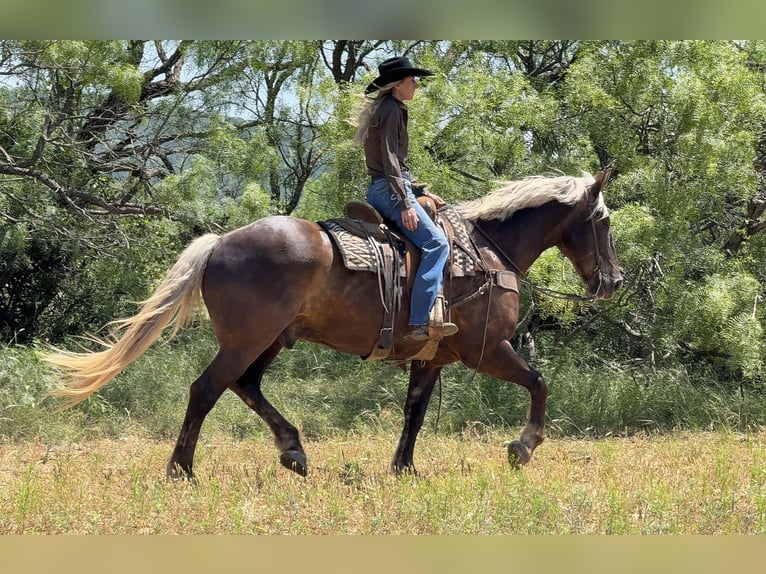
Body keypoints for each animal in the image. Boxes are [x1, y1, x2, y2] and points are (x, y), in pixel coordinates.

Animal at [45, 168, 622, 479]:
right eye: (604, 221)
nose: (614, 281)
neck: (485, 252)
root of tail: (221, 242)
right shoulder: (488, 350)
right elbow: (539, 383)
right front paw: (523, 446)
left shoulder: (434, 357)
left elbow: (414, 412)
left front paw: (404, 467)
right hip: (246, 340)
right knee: (206, 389)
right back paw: (182, 470)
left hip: (267, 341)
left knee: (245, 386)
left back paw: (293, 450)